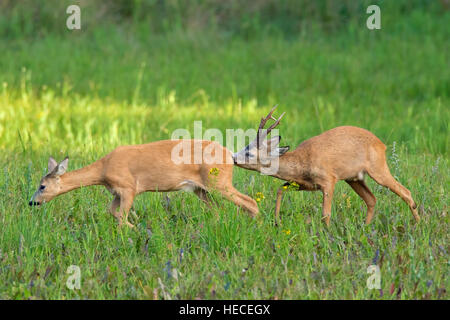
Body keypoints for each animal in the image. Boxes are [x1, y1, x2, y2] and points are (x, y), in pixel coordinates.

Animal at [29, 140, 258, 228]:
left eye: (42, 186)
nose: (32, 202)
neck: (103, 169)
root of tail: (230, 155)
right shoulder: (116, 192)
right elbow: (112, 212)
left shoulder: (128, 188)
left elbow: (121, 216)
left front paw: (136, 229)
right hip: (201, 189)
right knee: (219, 211)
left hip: (219, 182)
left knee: (251, 202)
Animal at [234, 105, 420, 225]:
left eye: (249, 153)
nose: (233, 157)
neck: (302, 162)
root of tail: (381, 144)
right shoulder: (307, 184)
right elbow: (280, 189)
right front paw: (277, 221)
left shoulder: (329, 179)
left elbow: (325, 214)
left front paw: (327, 234)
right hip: (354, 179)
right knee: (372, 199)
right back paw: (366, 228)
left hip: (378, 168)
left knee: (406, 192)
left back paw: (418, 224)